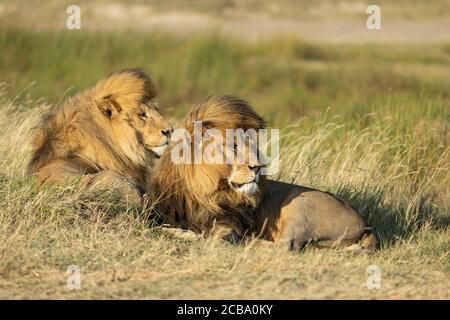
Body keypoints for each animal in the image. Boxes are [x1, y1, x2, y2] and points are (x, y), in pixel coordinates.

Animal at [147, 95, 376, 252]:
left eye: (252, 144)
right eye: (234, 146)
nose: (258, 167)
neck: (203, 193)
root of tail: (366, 224)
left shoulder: (228, 225)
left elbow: (212, 237)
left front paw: (192, 235)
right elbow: (157, 228)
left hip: (299, 205)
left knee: (287, 246)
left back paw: (249, 241)